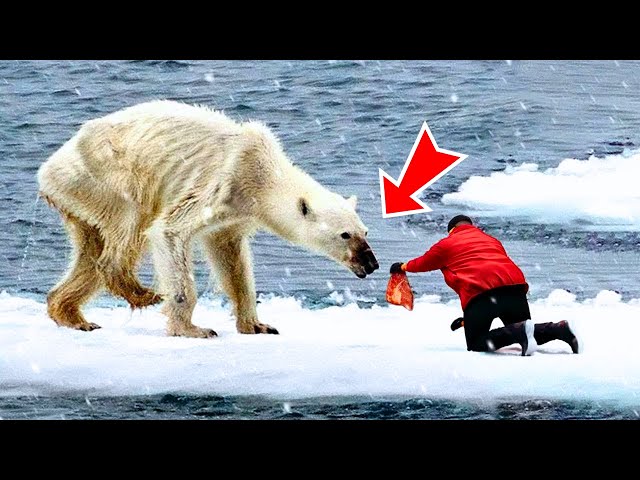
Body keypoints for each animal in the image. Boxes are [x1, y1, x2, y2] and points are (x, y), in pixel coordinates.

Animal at [37, 101, 380, 338]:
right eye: (345, 235)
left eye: (365, 231)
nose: (371, 263)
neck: (262, 172)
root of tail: (47, 169)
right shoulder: (220, 183)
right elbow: (169, 231)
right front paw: (192, 329)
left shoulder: (237, 212)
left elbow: (231, 257)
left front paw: (257, 324)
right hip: (104, 177)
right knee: (130, 225)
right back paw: (139, 291)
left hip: (80, 199)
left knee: (90, 252)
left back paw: (72, 315)